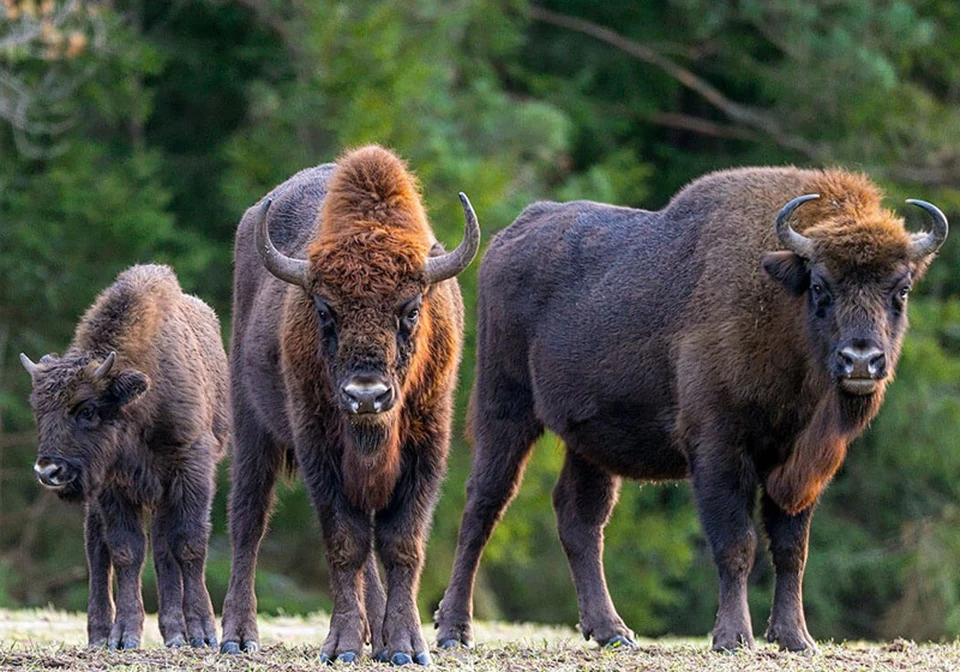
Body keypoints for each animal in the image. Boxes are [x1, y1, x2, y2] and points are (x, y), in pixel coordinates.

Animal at [19, 266, 230, 648]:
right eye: (38, 411)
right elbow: (125, 551)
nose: (48, 470)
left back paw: (176, 633)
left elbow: (188, 544)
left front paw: (203, 633)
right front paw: (124, 636)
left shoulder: (190, 470)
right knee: (98, 552)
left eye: (87, 410)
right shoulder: (111, 488)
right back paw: (100, 635)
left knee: (163, 549)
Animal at [221, 144, 480, 664]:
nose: (366, 395)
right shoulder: (319, 449)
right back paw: (238, 636)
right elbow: (345, 543)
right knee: (247, 519)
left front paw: (405, 646)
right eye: (324, 310)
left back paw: (376, 635)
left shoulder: (427, 446)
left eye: (411, 309)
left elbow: (399, 544)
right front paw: (340, 645)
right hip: (251, 429)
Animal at [438, 167, 948, 652]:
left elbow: (791, 549)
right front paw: (733, 638)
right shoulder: (719, 450)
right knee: (484, 503)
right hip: (505, 408)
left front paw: (795, 639)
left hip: (588, 441)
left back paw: (612, 631)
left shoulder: (799, 465)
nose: (861, 360)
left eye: (901, 289)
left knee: (579, 517)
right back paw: (453, 631)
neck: (780, 306)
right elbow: (737, 545)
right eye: (821, 286)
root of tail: (511, 235)